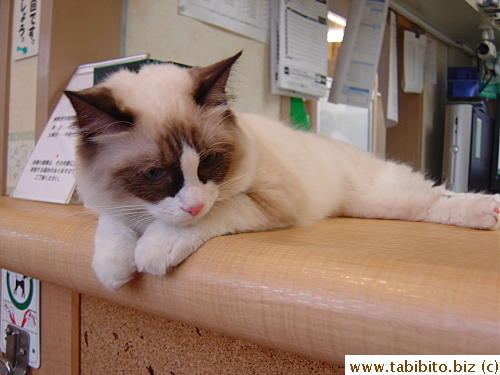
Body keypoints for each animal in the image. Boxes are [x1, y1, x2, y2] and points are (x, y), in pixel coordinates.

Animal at [64, 51, 498, 292]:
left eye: (208, 162)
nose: (192, 206)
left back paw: (488, 210)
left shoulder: (265, 200)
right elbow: (114, 227)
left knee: (438, 198)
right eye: (155, 175)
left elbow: (204, 217)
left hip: (382, 199)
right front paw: (113, 271)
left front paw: (152, 250)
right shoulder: (113, 205)